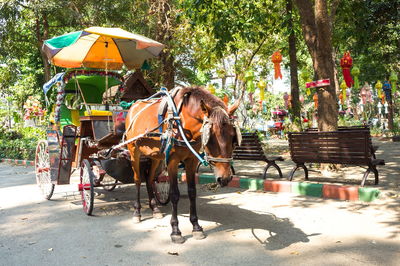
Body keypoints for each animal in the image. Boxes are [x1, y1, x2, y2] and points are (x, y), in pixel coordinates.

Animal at [125, 85, 239, 243]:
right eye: (210, 138)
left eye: (233, 137)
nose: (225, 178)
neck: (183, 122)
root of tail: (132, 107)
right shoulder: (172, 161)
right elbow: (174, 194)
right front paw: (175, 231)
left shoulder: (191, 161)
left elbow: (192, 192)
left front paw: (196, 227)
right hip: (133, 152)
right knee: (137, 180)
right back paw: (137, 212)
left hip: (155, 157)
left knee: (149, 179)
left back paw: (155, 209)